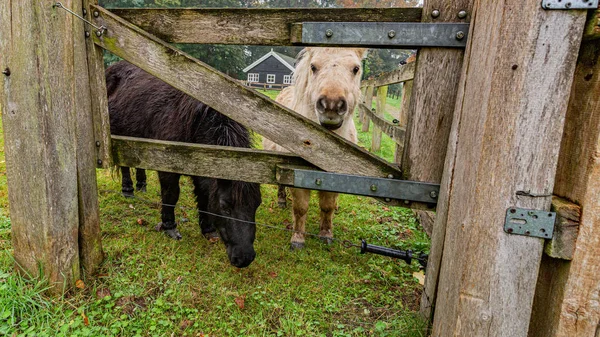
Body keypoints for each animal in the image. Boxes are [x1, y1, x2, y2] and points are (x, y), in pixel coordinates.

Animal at [107, 59, 260, 266]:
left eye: (257, 205)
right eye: (225, 207)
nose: (244, 258)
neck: (197, 122)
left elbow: (204, 195)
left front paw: (208, 229)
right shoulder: (168, 166)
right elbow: (171, 195)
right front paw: (169, 227)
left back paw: (141, 185)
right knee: (124, 166)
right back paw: (128, 190)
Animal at [264, 47, 368, 248]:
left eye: (356, 68)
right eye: (313, 67)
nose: (331, 105)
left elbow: (327, 207)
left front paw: (326, 233)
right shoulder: (295, 173)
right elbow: (300, 208)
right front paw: (298, 238)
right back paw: (281, 200)